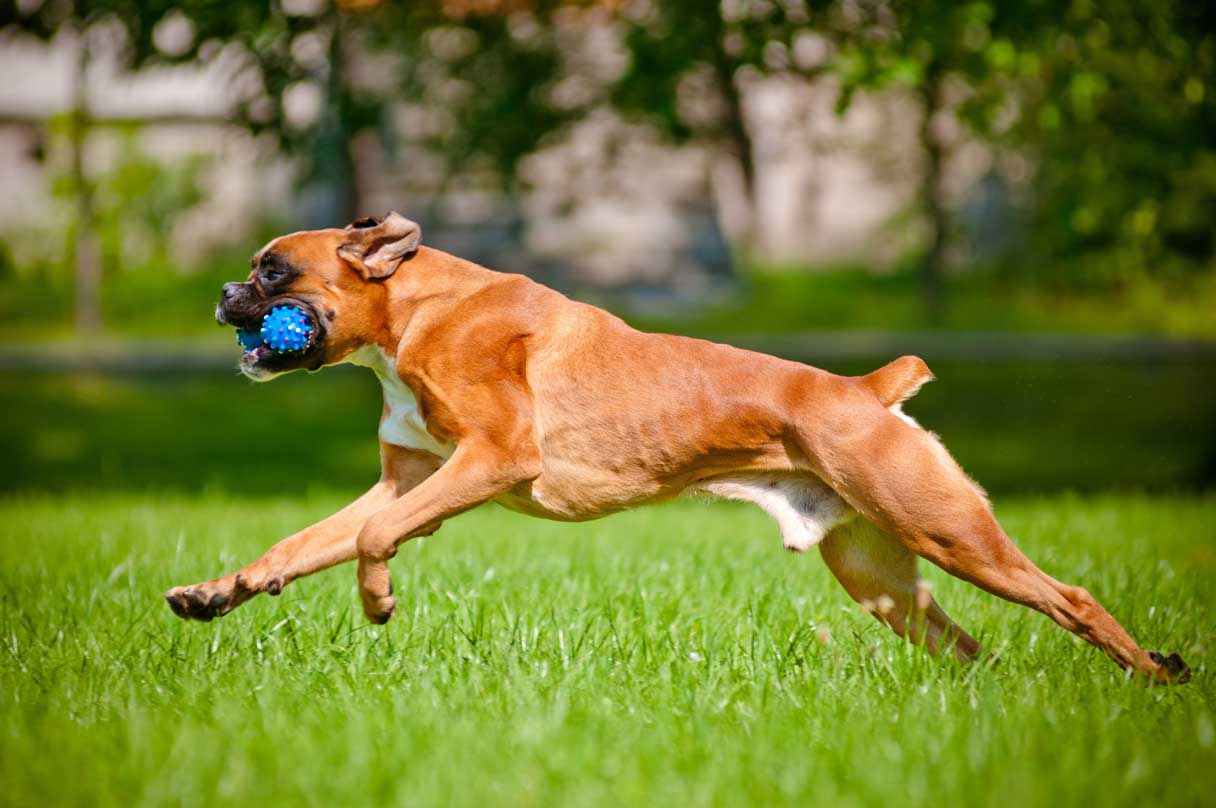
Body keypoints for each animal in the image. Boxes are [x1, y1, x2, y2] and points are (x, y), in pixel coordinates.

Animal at [166, 212, 1191, 681]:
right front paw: (220, 592)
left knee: (1071, 599)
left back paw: (1154, 677)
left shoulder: (488, 463)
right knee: (965, 644)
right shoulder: (408, 482)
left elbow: (372, 542)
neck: (415, 308)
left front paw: (377, 601)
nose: (222, 293)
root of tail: (866, 391)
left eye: (273, 271)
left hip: (950, 532)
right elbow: (302, 545)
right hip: (881, 574)